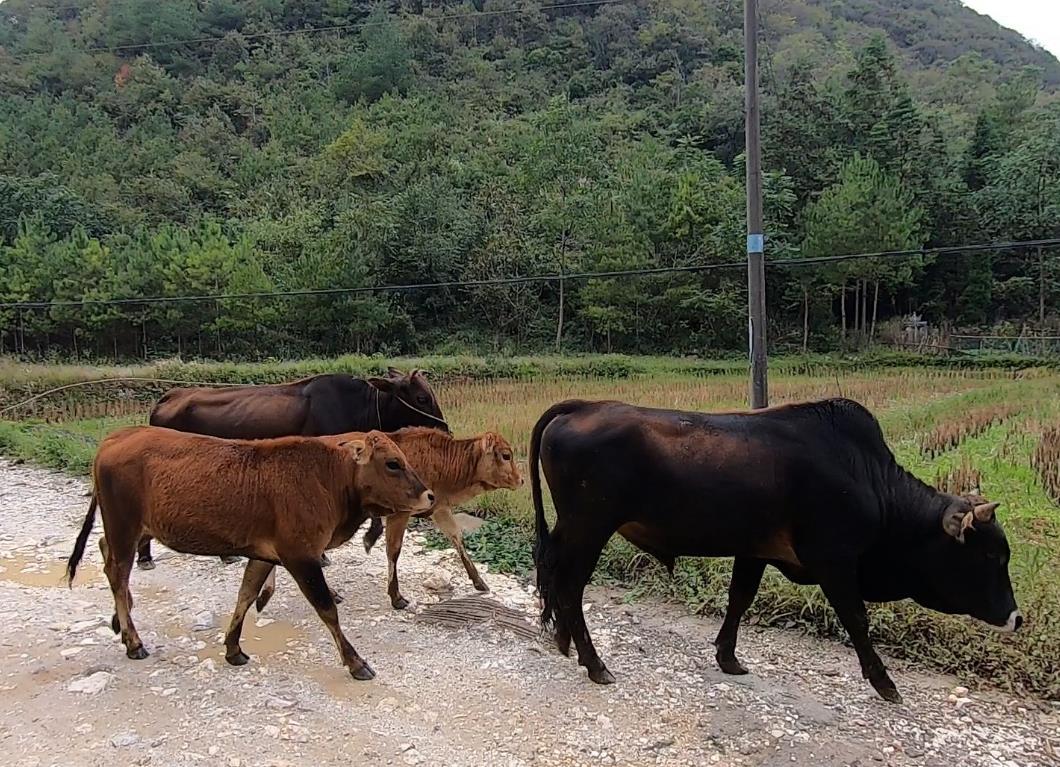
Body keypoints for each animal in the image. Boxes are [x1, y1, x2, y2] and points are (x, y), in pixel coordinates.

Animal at [66, 425, 432, 682]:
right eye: (393, 463)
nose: (428, 496)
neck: (328, 478)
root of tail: (115, 438)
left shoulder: (263, 554)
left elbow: (245, 595)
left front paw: (233, 648)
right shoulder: (300, 556)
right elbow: (327, 609)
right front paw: (356, 662)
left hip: (132, 529)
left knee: (107, 556)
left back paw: (120, 620)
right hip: (124, 526)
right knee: (116, 571)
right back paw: (133, 640)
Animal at [137, 368, 447, 572]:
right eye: (421, 398)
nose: (444, 429)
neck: (359, 406)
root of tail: (168, 396)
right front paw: (321, 555)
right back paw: (146, 558)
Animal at [534, 398, 1021, 703]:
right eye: (991, 557)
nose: (1016, 618)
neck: (868, 480)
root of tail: (583, 405)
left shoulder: (754, 552)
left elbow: (739, 600)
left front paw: (728, 657)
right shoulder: (835, 561)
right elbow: (857, 620)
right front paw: (885, 683)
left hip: (571, 530)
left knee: (554, 576)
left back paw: (564, 642)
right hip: (590, 529)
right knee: (571, 586)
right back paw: (594, 662)